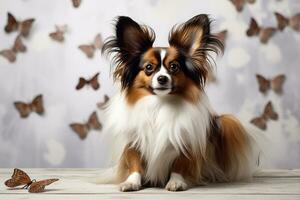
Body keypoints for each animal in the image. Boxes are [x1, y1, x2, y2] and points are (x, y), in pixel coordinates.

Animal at [98, 14, 260, 192]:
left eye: (174, 67)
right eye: (149, 67)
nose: (162, 78)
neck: (159, 104)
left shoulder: (186, 142)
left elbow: (180, 164)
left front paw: (176, 182)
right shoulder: (134, 141)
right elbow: (135, 163)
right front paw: (132, 182)